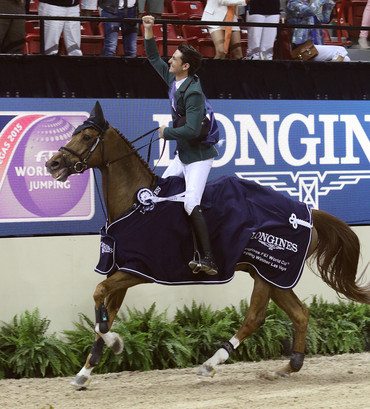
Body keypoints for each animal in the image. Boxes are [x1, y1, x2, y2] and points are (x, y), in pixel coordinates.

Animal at [44, 101, 368, 386]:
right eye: (73, 132)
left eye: (86, 136)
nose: (52, 163)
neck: (135, 203)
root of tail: (306, 211)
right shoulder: (120, 269)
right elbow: (104, 316)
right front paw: (86, 372)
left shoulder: (136, 270)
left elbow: (99, 297)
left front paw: (114, 345)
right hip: (273, 275)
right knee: (300, 314)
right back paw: (289, 366)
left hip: (267, 272)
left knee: (255, 318)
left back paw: (211, 364)